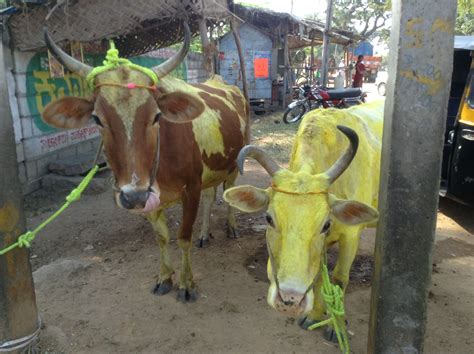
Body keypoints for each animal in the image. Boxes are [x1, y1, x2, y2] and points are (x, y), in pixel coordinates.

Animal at [41, 23, 248, 302]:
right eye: (97, 119)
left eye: (157, 116)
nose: (132, 195)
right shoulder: (147, 196)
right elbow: (161, 237)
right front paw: (164, 277)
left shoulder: (191, 189)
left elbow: (183, 238)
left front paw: (186, 284)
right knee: (210, 196)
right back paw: (205, 233)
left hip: (234, 164)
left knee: (228, 192)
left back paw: (231, 226)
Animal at [224, 101, 384, 330]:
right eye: (268, 218)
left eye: (326, 224)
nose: (290, 300)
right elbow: (318, 280)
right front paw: (314, 316)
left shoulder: (351, 235)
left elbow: (339, 279)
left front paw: (335, 327)